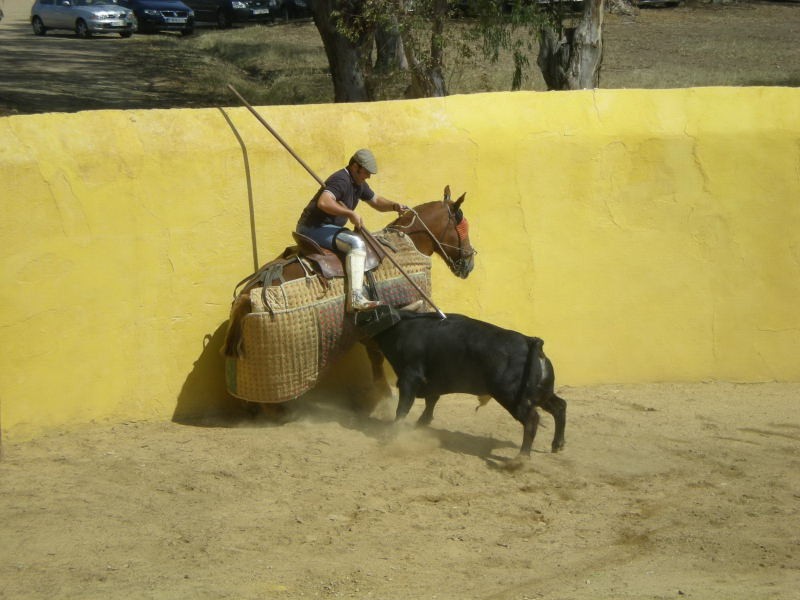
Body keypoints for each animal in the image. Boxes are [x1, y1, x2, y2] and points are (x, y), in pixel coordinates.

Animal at [222, 183, 478, 408]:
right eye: (462, 226)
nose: (469, 263)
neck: (408, 244)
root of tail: (246, 295)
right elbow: (381, 356)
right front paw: (385, 399)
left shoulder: (370, 329)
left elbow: (375, 356)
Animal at [372, 312, 564, 458]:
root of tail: (530, 341)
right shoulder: (431, 383)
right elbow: (430, 402)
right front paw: (420, 425)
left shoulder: (410, 378)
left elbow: (403, 408)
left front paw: (394, 433)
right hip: (541, 393)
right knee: (560, 406)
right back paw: (557, 444)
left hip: (512, 397)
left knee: (532, 419)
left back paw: (521, 458)